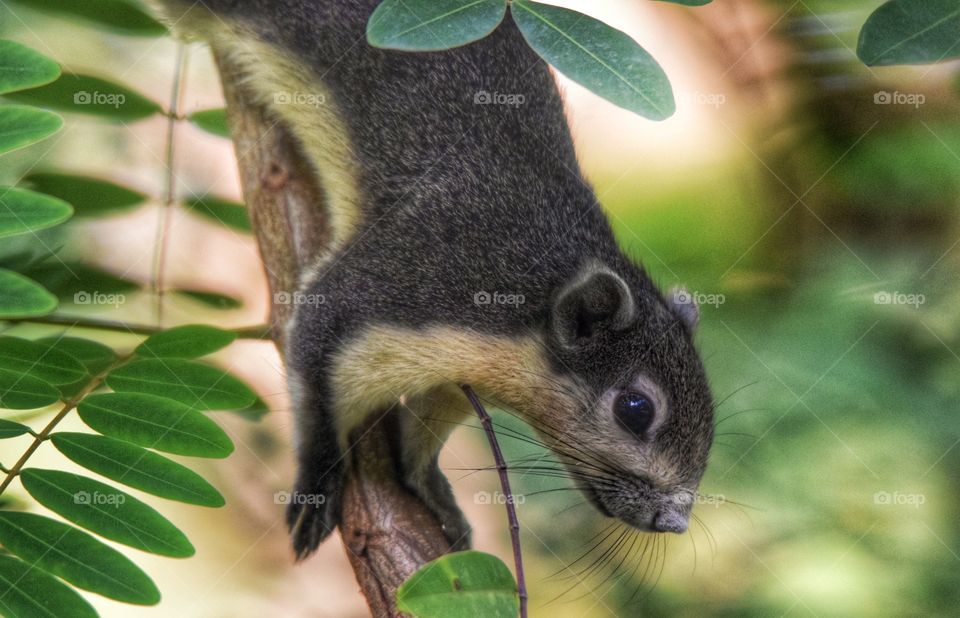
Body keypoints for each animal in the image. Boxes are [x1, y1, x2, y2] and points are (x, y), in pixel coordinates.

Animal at [149, 0, 716, 560]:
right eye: (635, 409)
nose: (673, 522)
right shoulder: (404, 286)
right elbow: (315, 375)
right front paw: (317, 481)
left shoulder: (452, 379)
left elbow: (417, 437)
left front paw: (437, 495)